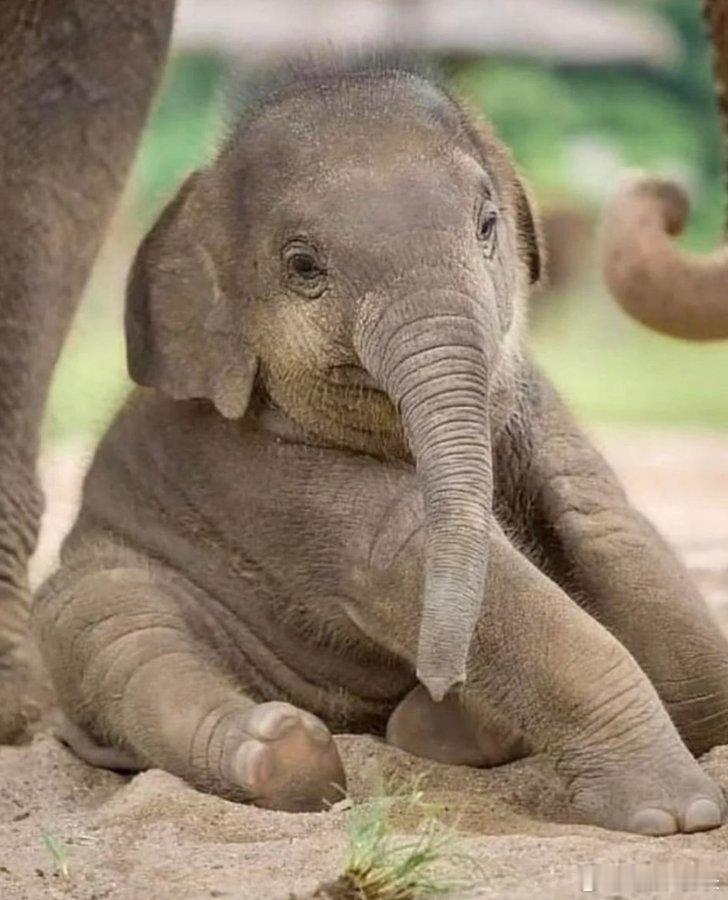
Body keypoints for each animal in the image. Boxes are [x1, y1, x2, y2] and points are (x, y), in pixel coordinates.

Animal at [30, 56, 728, 836]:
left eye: (488, 225)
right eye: (304, 267)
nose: (442, 674)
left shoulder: (535, 405)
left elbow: (606, 521)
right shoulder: (275, 485)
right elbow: (418, 557)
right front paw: (682, 815)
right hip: (92, 593)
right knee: (124, 642)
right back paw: (282, 752)